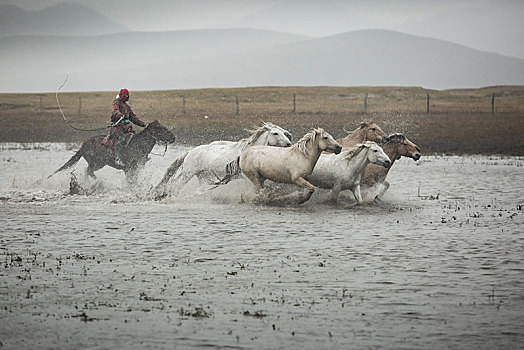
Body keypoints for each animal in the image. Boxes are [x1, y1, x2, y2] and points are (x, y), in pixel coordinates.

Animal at [154, 121, 292, 196]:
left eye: (284, 132)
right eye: (275, 133)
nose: (289, 144)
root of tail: (190, 152)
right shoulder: (248, 178)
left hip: (204, 177)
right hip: (187, 174)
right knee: (175, 186)